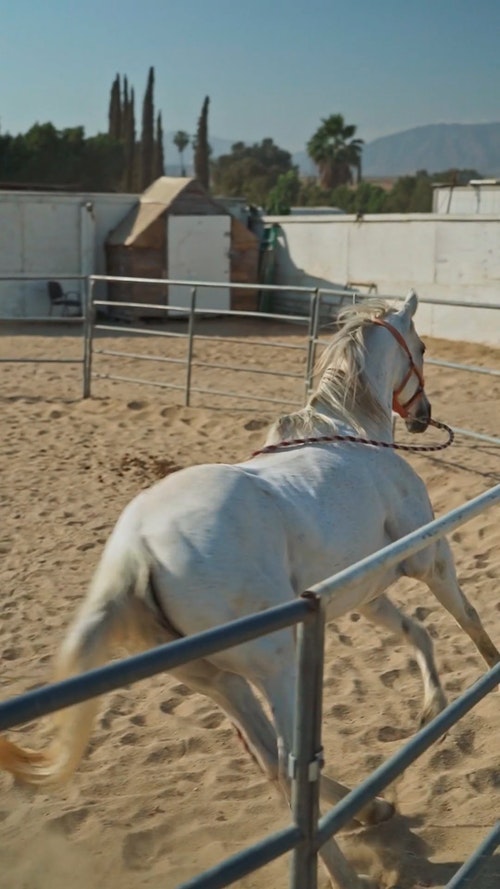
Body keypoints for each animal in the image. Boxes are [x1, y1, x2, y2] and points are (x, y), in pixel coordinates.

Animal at [1, 292, 498, 888]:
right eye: (421, 347)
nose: (423, 415)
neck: (353, 432)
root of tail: (137, 552)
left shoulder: (368, 593)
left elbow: (418, 632)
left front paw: (432, 709)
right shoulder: (429, 558)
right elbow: (467, 618)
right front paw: (487, 676)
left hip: (220, 682)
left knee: (269, 763)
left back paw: (370, 810)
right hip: (277, 666)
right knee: (289, 763)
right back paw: (347, 864)